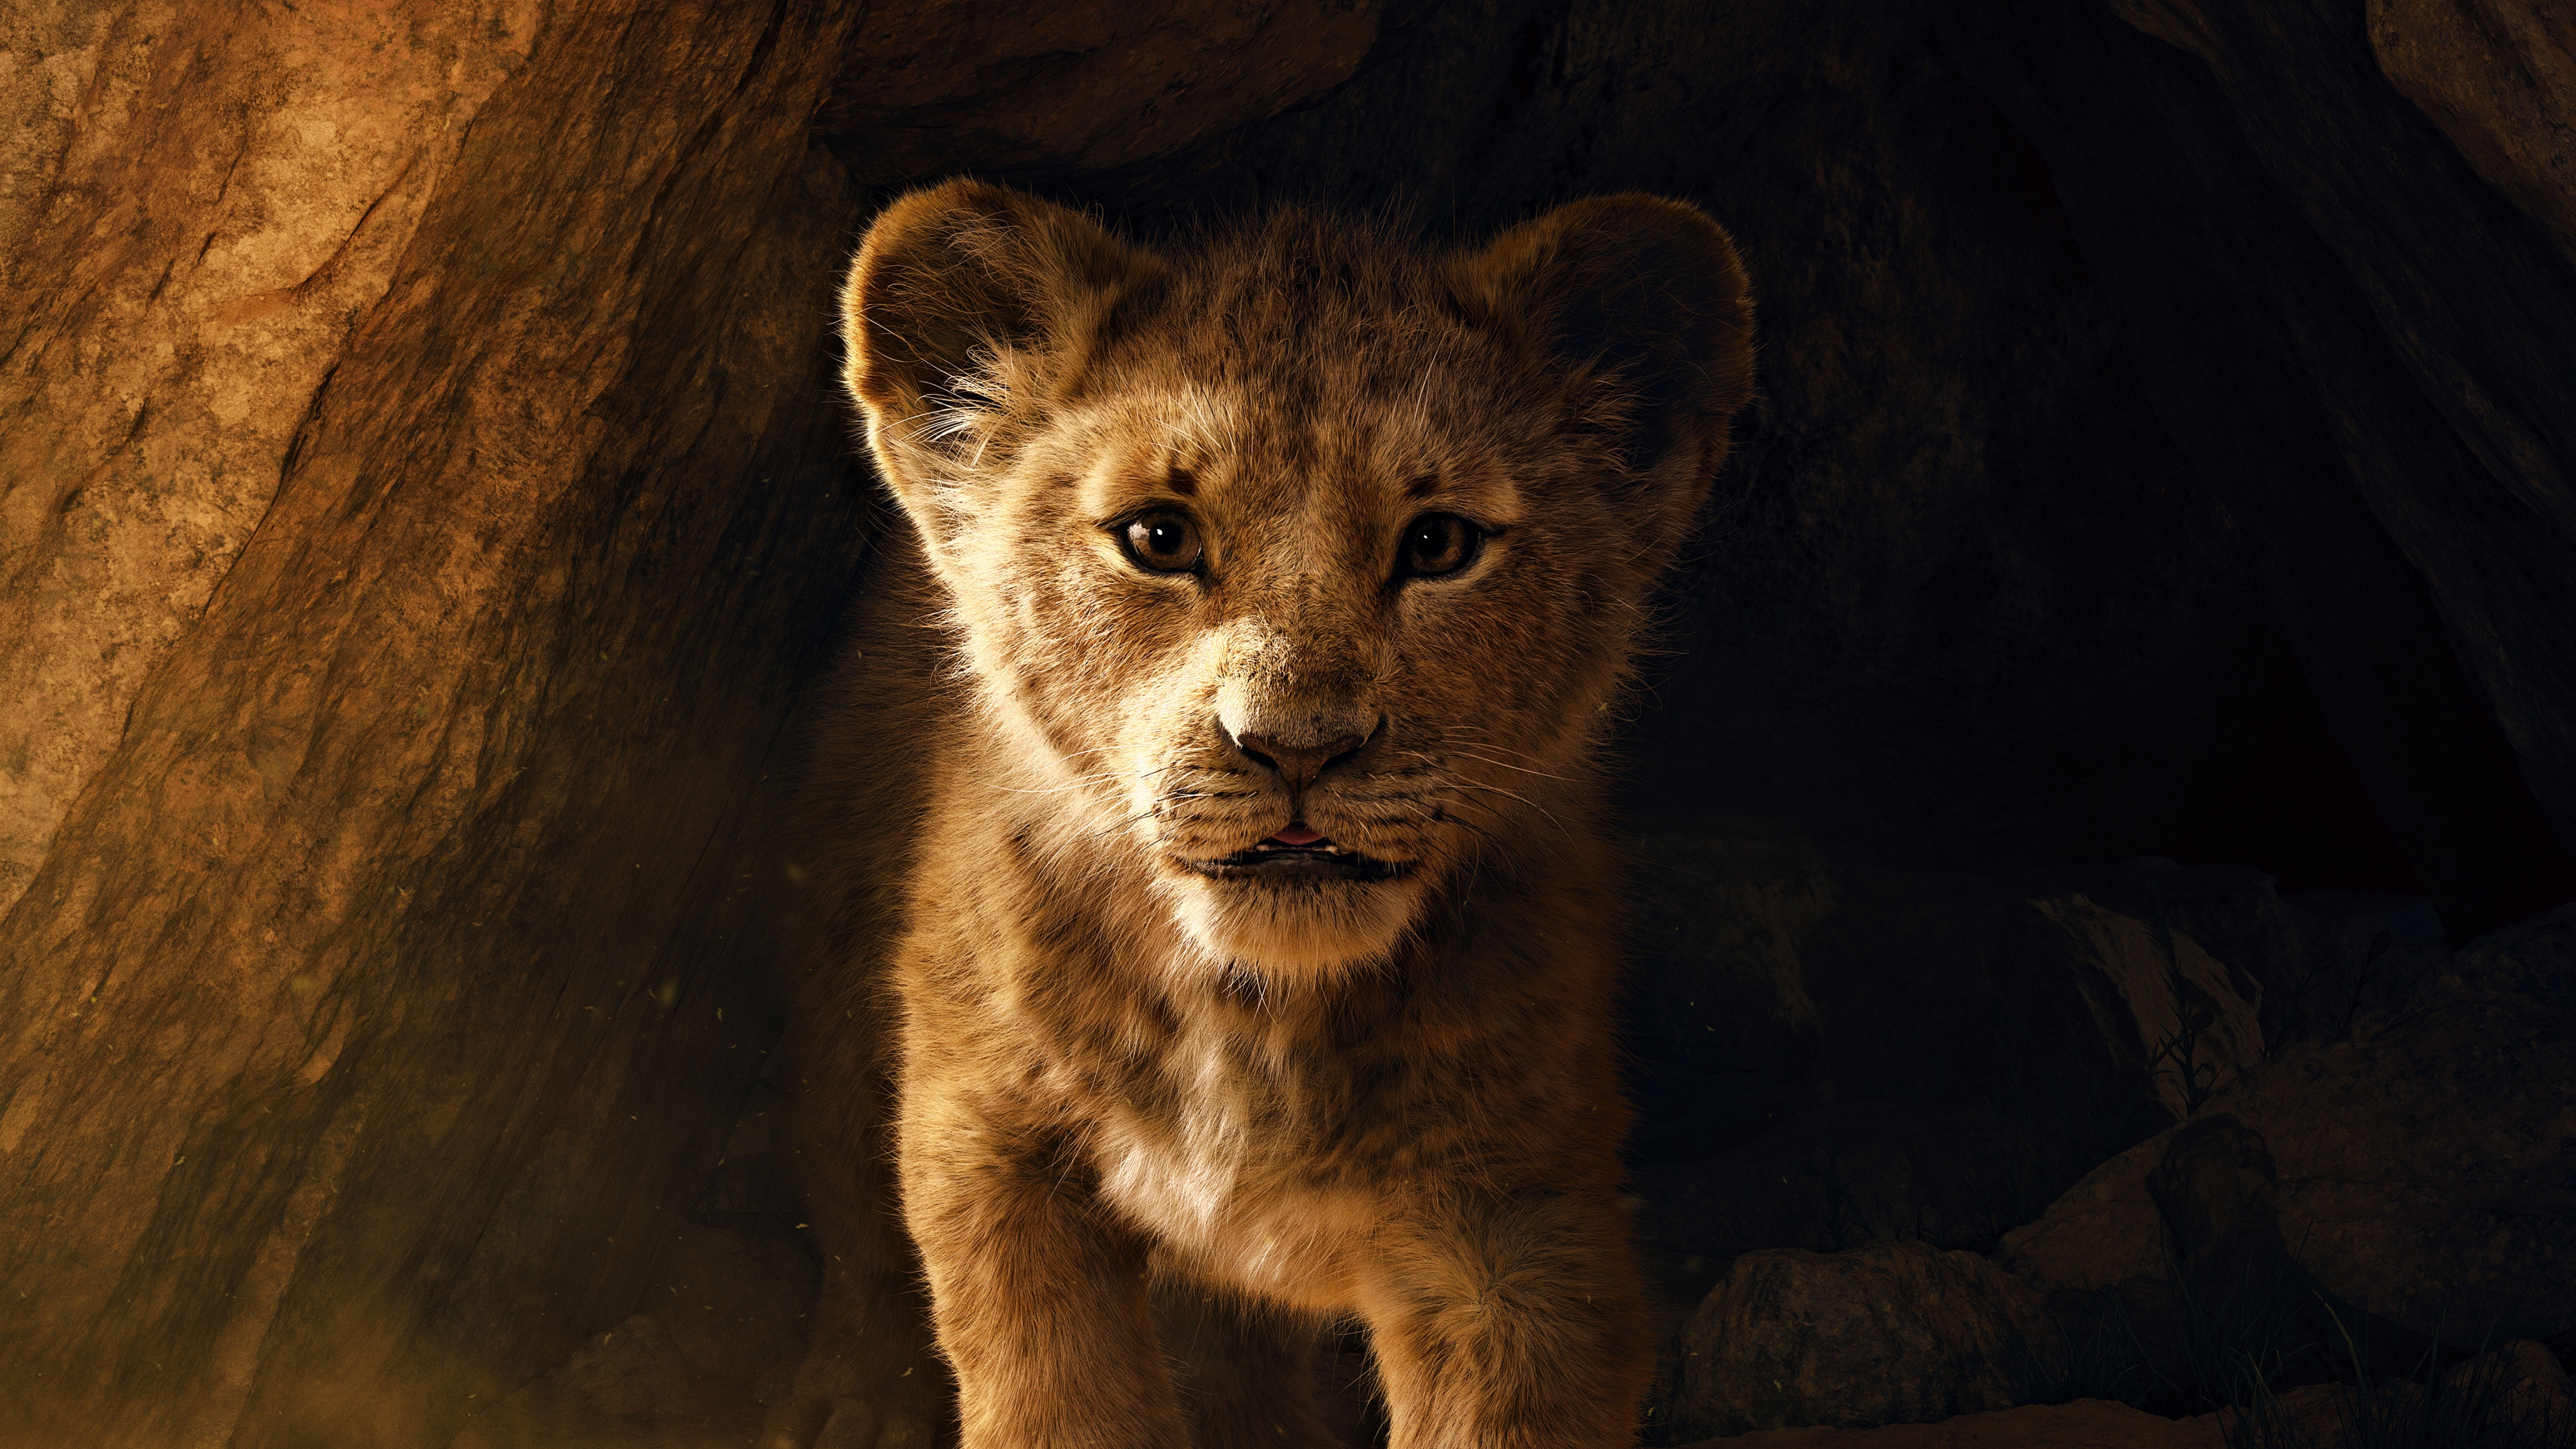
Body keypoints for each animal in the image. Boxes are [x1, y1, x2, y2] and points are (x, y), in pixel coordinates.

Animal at [760, 179, 1755, 1449]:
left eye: (1438, 544)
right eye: (1158, 537)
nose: (1296, 747)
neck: (1253, 1020)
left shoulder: (1520, 1229)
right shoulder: (986, 1138)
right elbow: (1051, 1395)